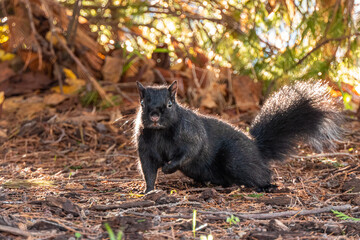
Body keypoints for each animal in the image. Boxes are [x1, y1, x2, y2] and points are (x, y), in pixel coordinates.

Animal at [134, 80, 342, 193]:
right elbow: (149, 171)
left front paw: (168, 167)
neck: (160, 132)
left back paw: (267, 186)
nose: (154, 115)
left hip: (235, 159)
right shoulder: (145, 150)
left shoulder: (191, 134)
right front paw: (148, 191)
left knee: (262, 174)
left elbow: (190, 151)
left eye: (170, 104)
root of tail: (256, 147)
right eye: (143, 104)